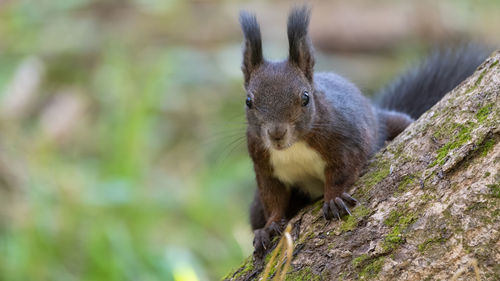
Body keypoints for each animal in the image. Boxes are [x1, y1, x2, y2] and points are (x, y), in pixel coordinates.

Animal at [238, 6, 488, 256]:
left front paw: (334, 198)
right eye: (248, 101)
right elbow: (273, 197)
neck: (294, 147)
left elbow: (343, 170)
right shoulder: (263, 163)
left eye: (305, 97)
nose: (276, 134)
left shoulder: (347, 137)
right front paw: (269, 226)